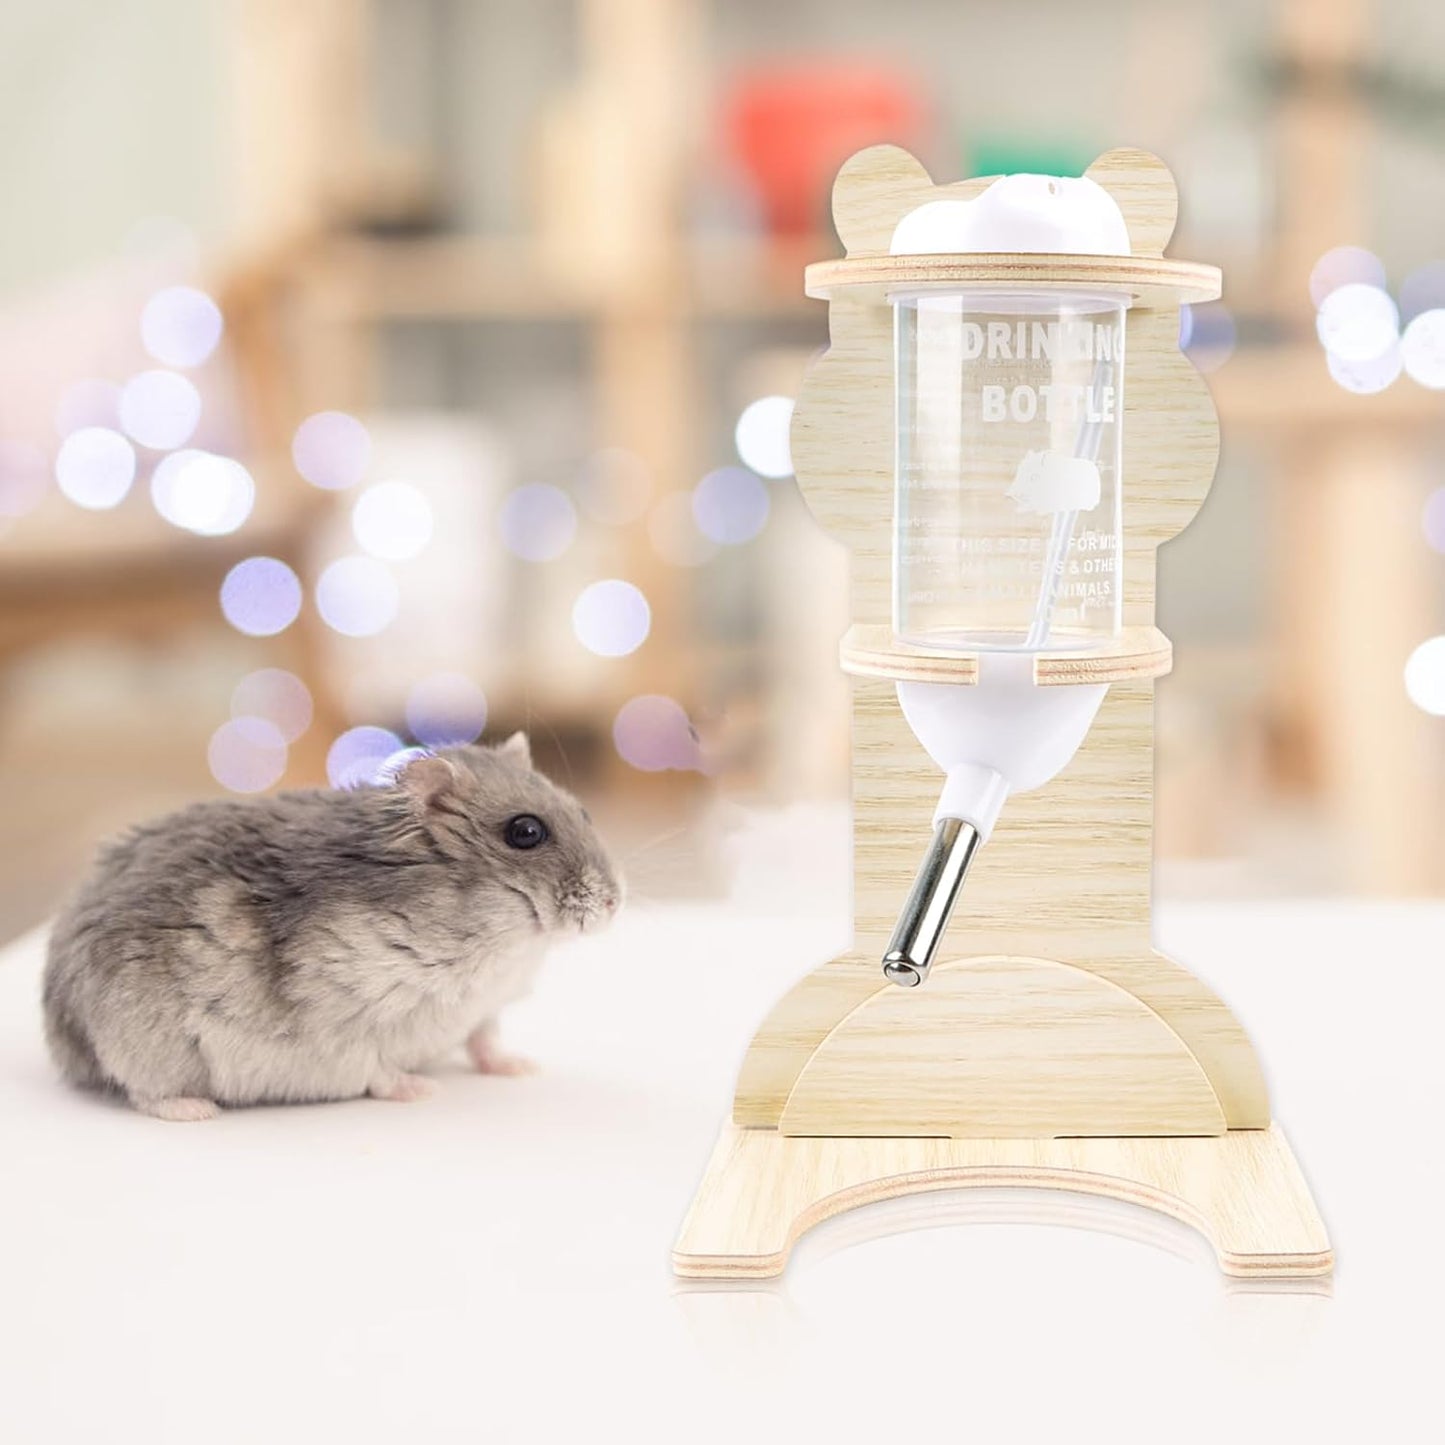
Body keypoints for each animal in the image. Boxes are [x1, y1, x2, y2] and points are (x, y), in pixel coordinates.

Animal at [41, 732, 621, 1121]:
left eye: (583, 812)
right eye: (525, 832)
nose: (614, 904)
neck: (505, 945)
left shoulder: (485, 1008)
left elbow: (485, 1039)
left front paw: (520, 1066)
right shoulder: (351, 1018)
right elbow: (379, 1066)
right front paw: (423, 1091)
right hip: (138, 1044)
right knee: (142, 1091)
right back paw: (196, 1110)